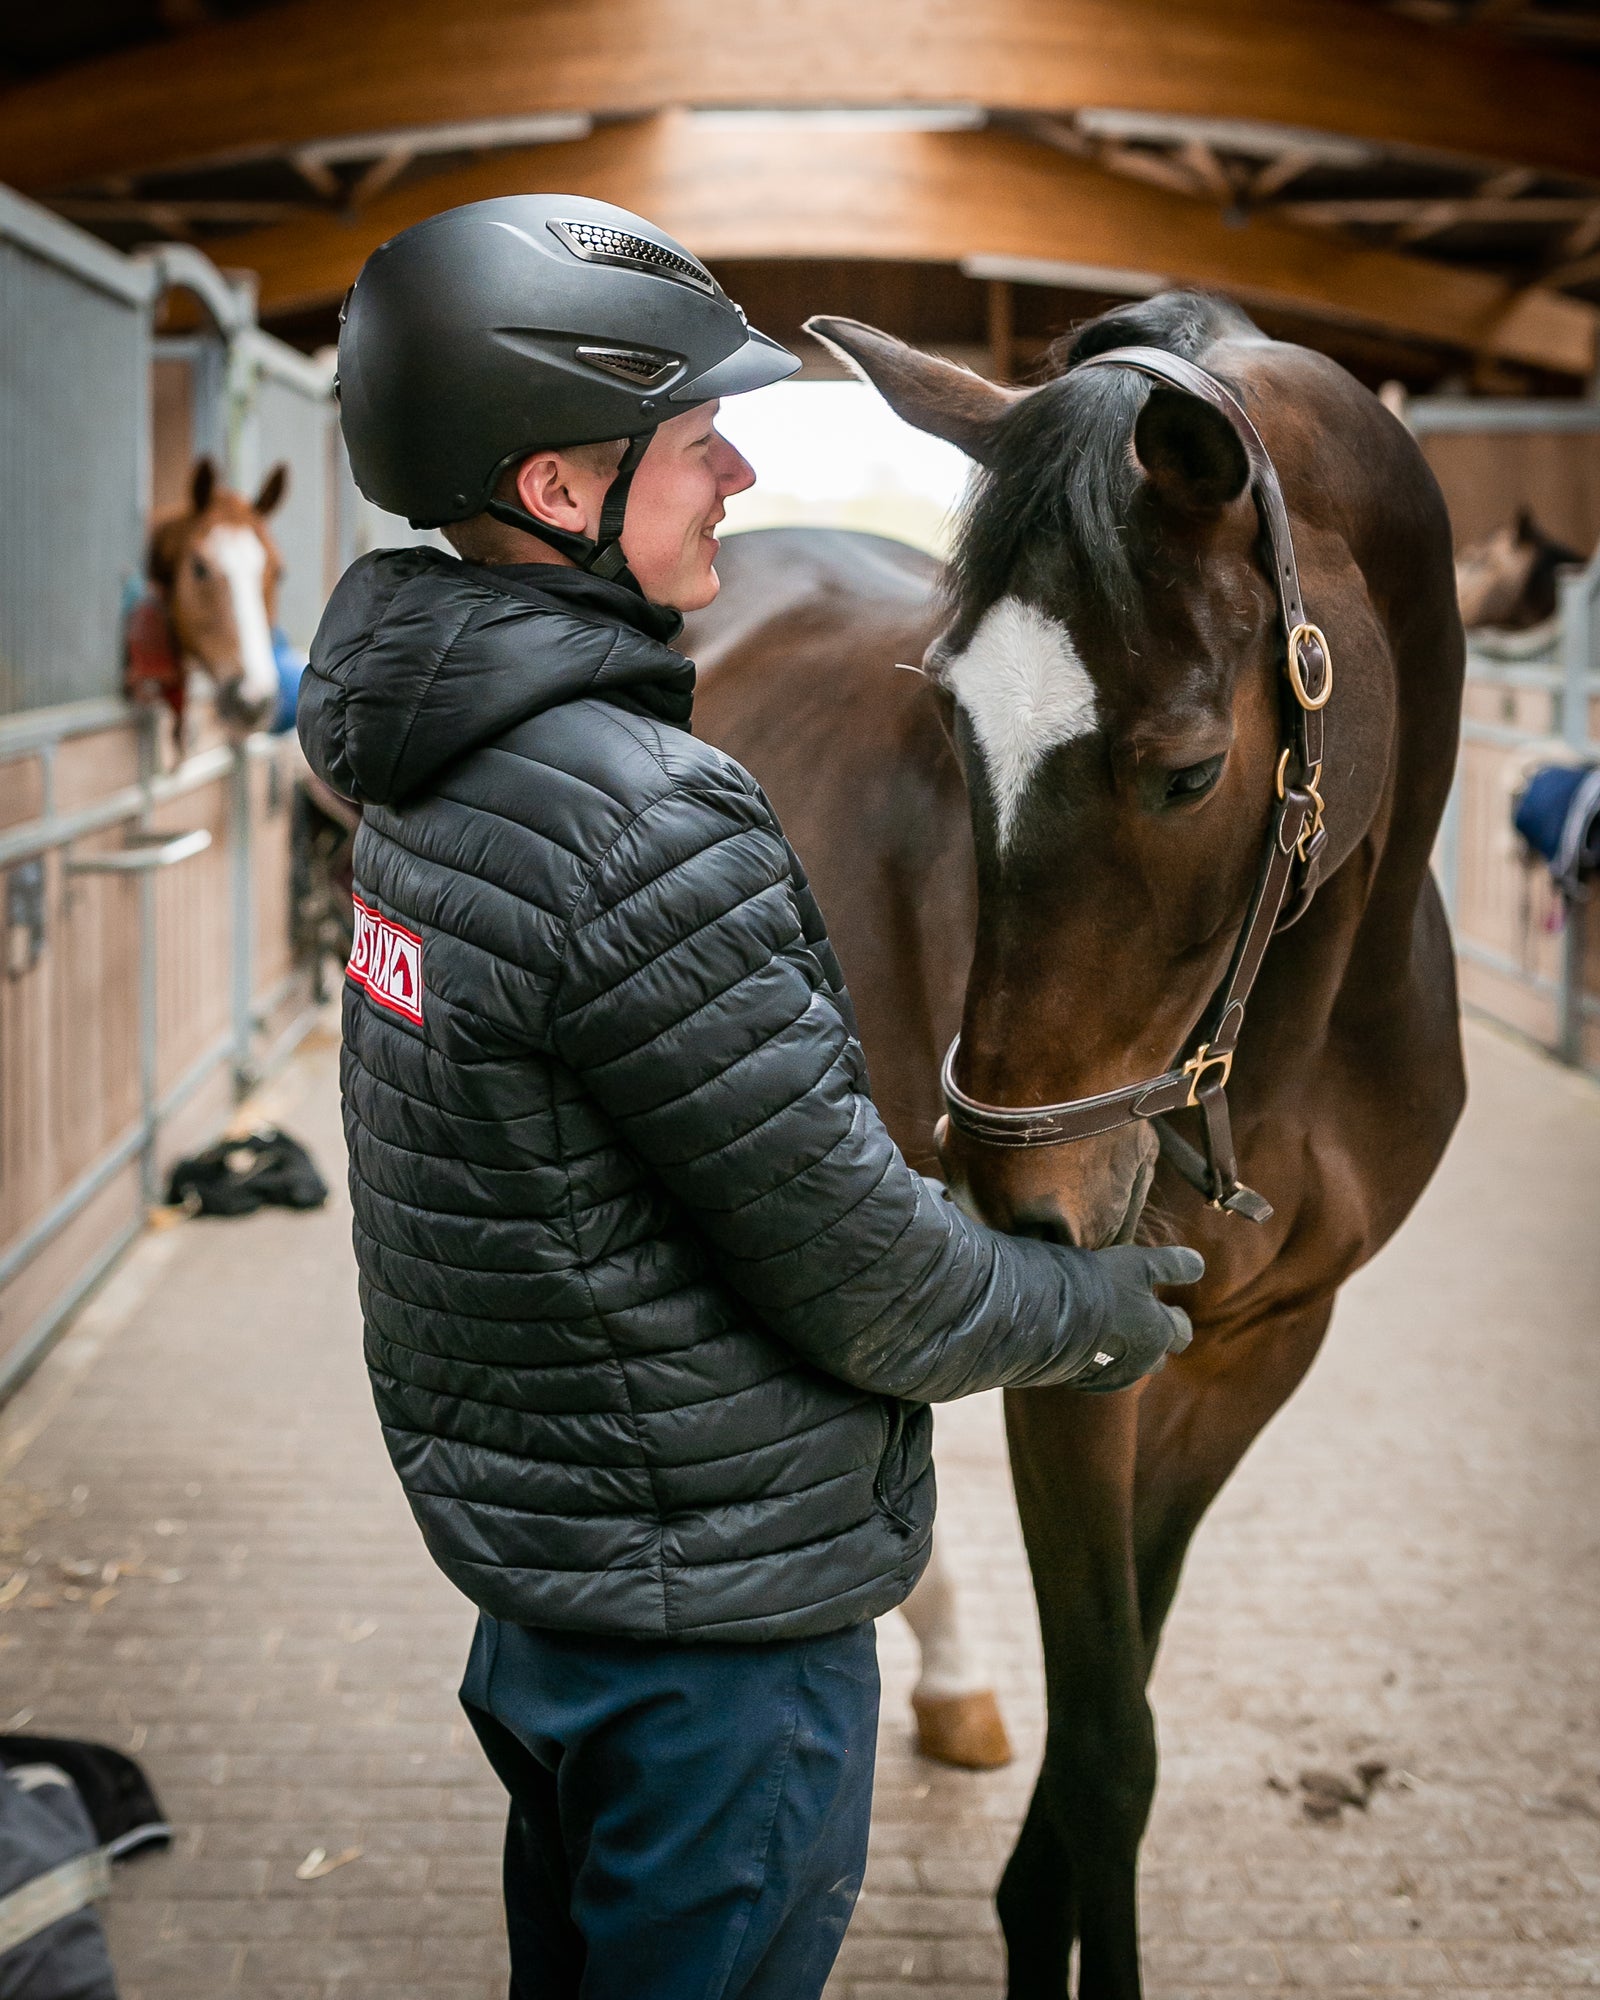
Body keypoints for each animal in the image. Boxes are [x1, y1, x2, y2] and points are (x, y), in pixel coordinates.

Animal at [688, 286, 1464, 2000]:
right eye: (950, 722)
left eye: (1188, 767)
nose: (1024, 1203)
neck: (1291, 1047)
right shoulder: (1081, 1359)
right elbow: (1113, 1749)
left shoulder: (1255, 1352)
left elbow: (1125, 1710)